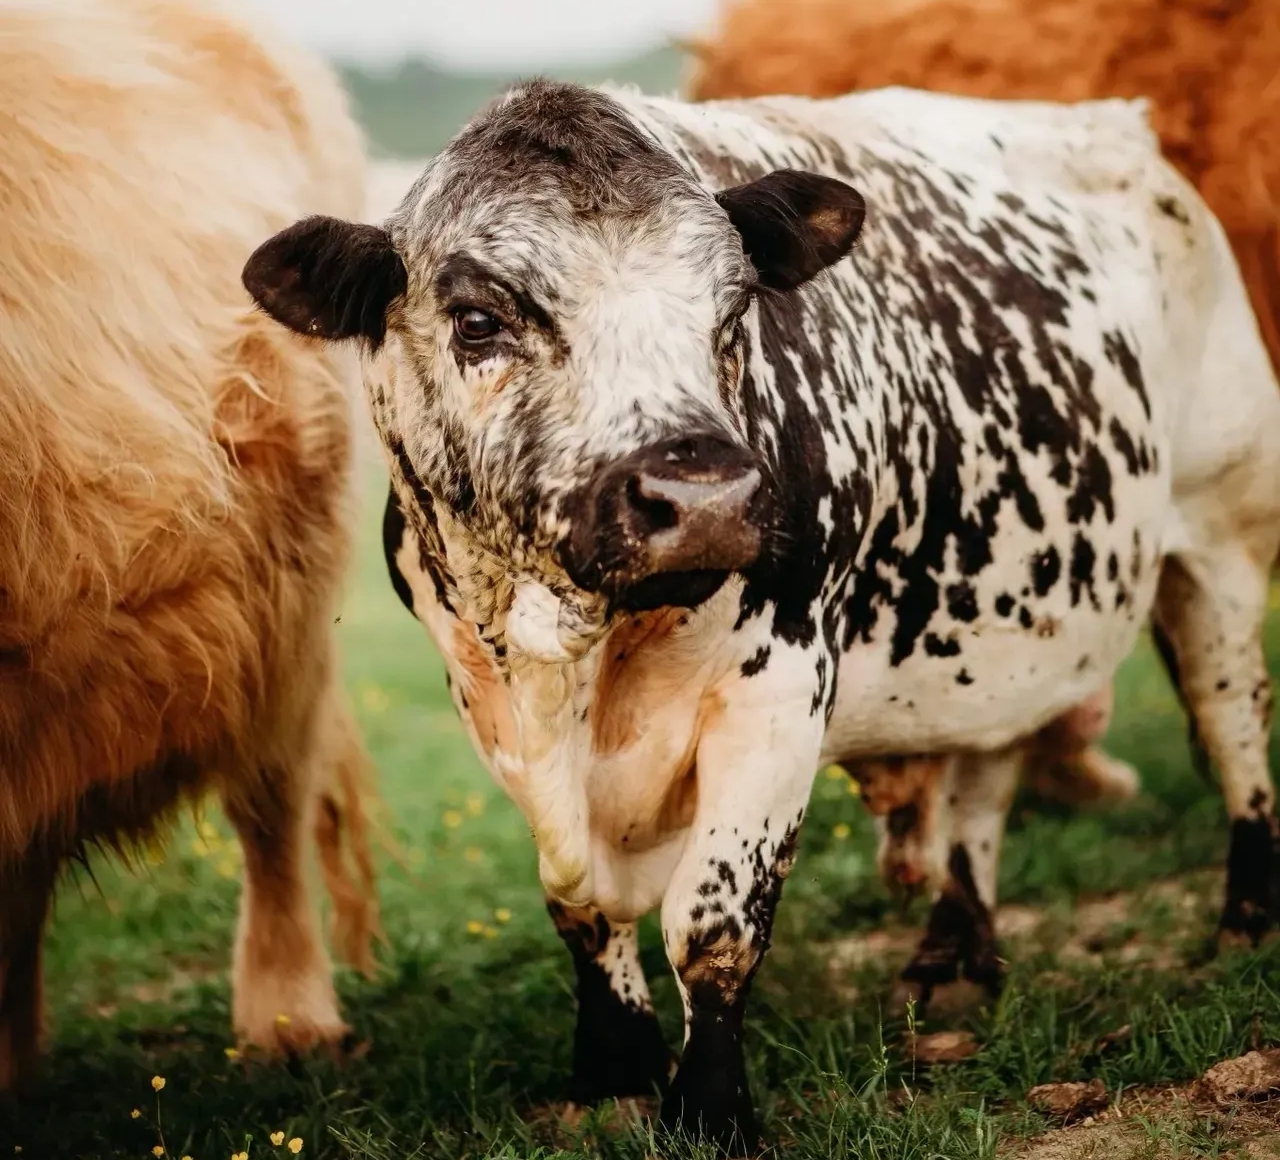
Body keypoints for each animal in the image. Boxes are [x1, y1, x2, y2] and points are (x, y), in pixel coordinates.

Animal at [243, 81, 1280, 1153]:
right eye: (480, 319)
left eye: (734, 306)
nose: (700, 495)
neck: (584, 661)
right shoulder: (486, 699)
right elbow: (577, 903)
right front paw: (612, 1069)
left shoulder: (779, 689)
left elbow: (713, 925)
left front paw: (708, 1109)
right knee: (981, 776)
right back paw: (954, 957)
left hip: (1224, 541)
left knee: (1232, 722)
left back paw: (1246, 915)